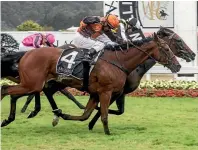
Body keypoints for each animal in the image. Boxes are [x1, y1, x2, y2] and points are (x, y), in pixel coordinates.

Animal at [1, 33, 181, 135]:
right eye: (166, 48)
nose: (178, 65)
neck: (118, 62)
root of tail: (26, 54)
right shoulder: (106, 92)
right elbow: (104, 114)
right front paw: (108, 133)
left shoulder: (97, 93)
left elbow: (86, 114)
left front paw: (64, 116)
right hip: (33, 83)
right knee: (6, 89)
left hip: (37, 83)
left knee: (17, 92)